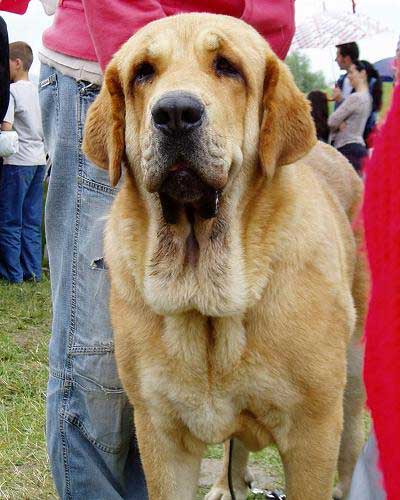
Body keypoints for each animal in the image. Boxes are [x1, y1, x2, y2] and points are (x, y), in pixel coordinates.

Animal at [83, 12, 368, 500]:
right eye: (142, 73)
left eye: (227, 67)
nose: (175, 113)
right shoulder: (160, 434)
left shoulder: (312, 434)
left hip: (353, 378)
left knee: (350, 448)